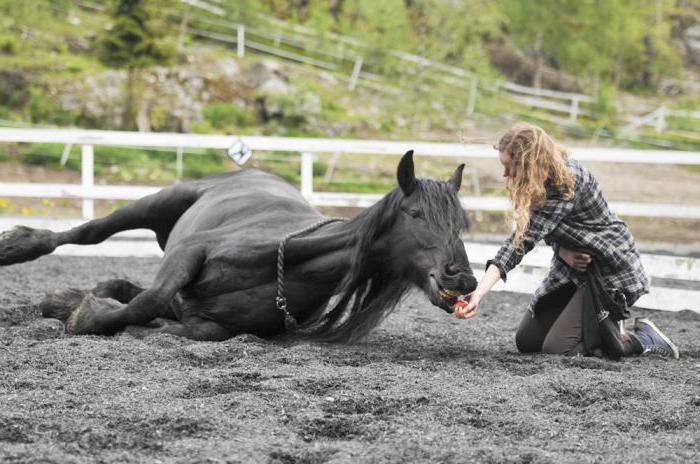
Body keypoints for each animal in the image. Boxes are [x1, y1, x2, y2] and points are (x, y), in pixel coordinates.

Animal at [0, 150, 476, 342]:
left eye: (460, 223)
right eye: (415, 214)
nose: (465, 278)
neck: (285, 265)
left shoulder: (204, 321)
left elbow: (176, 322)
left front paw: (80, 302)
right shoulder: (188, 254)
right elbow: (145, 303)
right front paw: (84, 313)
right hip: (157, 202)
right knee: (89, 233)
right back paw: (19, 246)